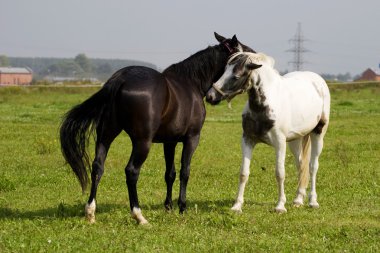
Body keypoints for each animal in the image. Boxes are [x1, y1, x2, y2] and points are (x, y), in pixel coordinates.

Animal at [59, 32, 255, 224]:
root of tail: (120, 79)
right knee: (131, 171)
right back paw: (138, 215)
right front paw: (182, 207)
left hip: (106, 135)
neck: (191, 83)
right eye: (241, 51)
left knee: (98, 167)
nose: (255, 57)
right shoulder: (192, 138)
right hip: (142, 142)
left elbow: (170, 173)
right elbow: (184, 171)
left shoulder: (169, 142)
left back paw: (90, 212)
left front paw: (168, 207)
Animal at [205, 52, 330, 212]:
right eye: (224, 71)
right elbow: (244, 173)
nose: (210, 96)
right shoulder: (248, 140)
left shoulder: (280, 143)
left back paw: (313, 201)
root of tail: (318, 80)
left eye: (236, 76)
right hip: (295, 140)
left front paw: (280, 206)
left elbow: (280, 173)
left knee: (313, 167)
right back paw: (298, 200)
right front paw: (237, 206)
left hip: (318, 134)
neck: (265, 106)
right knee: (301, 166)